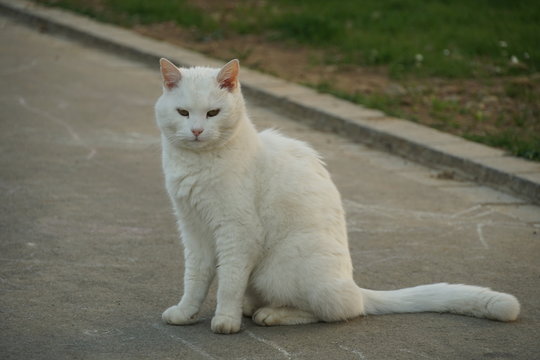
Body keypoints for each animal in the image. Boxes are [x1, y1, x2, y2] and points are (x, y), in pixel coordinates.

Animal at [155, 58, 520, 334]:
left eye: (213, 113)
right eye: (184, 113)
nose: (197, 131)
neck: (197, 163)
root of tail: (354, 285)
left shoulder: (237, 232)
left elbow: (229, 281)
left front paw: (225, 320)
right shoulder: (194, 230)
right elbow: (195, 278)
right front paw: (186, 313)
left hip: (280, 268)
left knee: (337, 310)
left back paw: (272, 313)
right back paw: (254, 307)